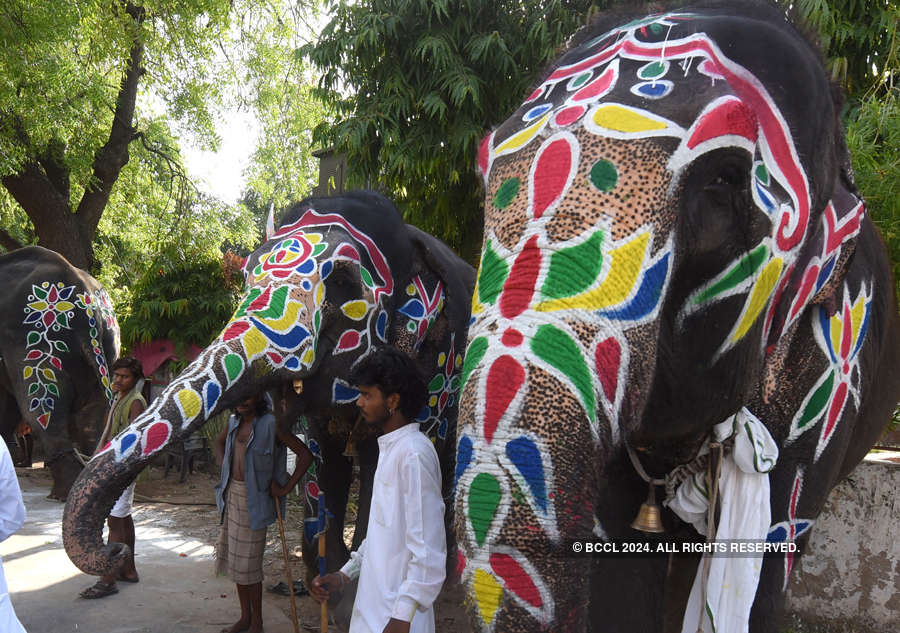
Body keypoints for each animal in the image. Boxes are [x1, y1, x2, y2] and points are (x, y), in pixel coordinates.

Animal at [64, 190, 474, 580]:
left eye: (343, 283)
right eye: (246, 276)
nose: (114, 550)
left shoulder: (434, 367)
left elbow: (382, 458)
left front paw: (350, 580)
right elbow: (325, 456)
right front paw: (327, 572)